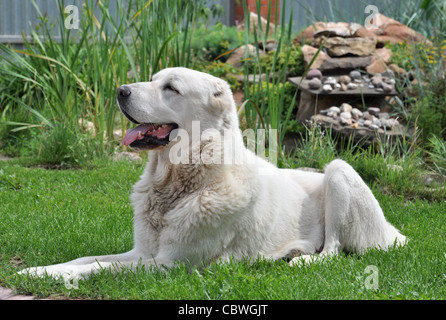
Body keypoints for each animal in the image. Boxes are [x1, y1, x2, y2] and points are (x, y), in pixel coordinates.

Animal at [19, 67, 406, 280]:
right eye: (153, 80)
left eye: (171, 88)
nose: (120, 90)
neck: (180, 183)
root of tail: (394, 232)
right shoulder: (141, 253)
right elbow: (85, 259)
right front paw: (39, 271)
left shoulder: (170, 265)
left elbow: (100, 268)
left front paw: (62, 277)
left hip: (340, 171)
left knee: (335, 250)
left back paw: (301, 260)